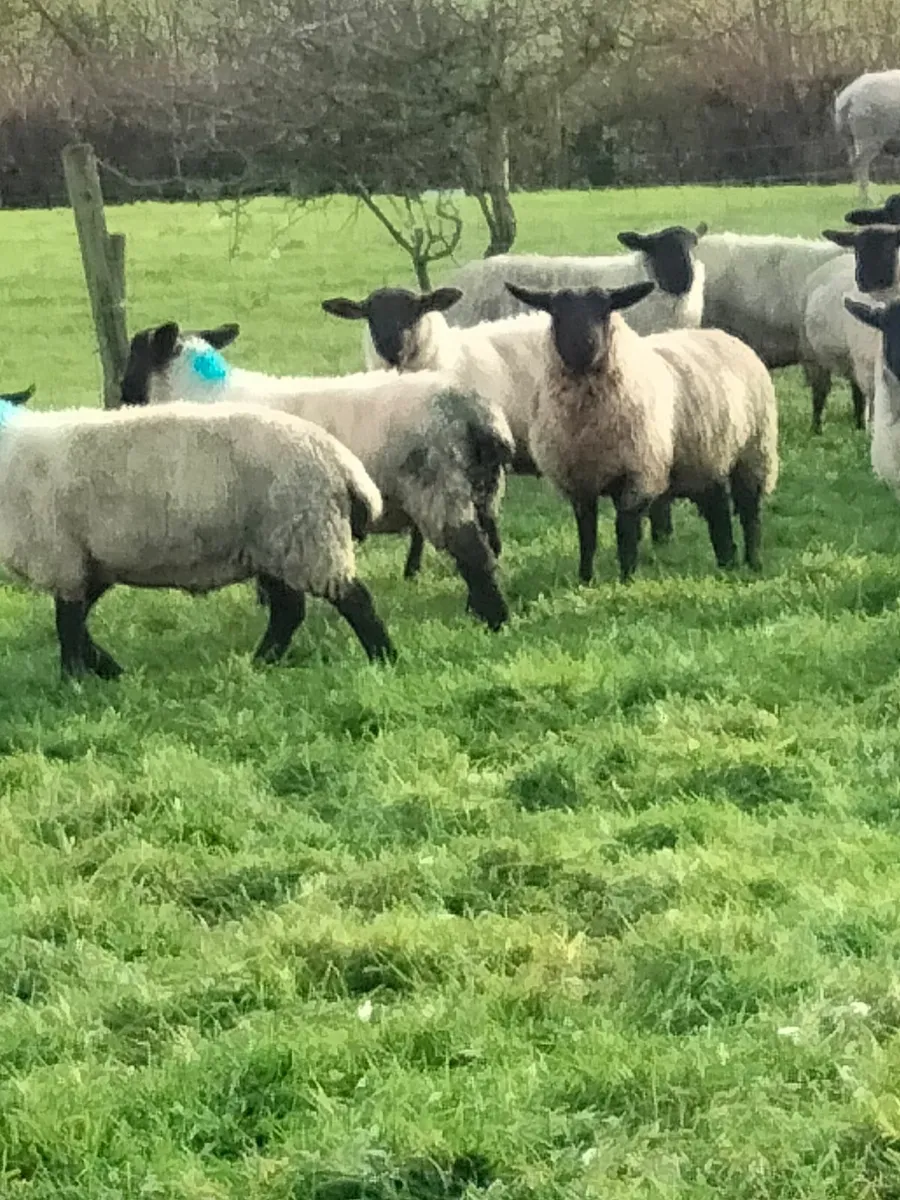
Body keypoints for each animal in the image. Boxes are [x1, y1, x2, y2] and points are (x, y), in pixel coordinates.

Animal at [0, 399, 395, 680]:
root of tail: (342, 461)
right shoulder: (89, 563)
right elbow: (77, 622)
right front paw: (109, 670)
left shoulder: (62, 557)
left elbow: (67, 625)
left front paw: (75, 679)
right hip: (276, 544)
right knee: (289, 610)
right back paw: (262, 662)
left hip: (307, 535)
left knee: (354, 600)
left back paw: (384, 658)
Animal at [119, 322, 515, 631]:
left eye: (133, 355)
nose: (117, 400)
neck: (202, 391)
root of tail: (476, 412)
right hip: (481, 491)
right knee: (488, 553)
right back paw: (479, 611)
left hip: (439, 491)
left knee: (474, 555)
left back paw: (495, 620)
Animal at [503, 281, 778, 584]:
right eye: (557, 313)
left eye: (605, 311)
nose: (584, 346)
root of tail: (720, 334)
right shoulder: (579, 481)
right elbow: (587, 535)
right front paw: (585, 579)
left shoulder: (637, 473)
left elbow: (626, 531)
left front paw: (626, 579)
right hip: (706, 458)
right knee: (718, 509)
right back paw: (726, 562)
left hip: (754, 451)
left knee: (750, 512)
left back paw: (753, 563)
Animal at [801, 224, 900, 431]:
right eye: (857, 247)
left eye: (889, 246)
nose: (862, 280)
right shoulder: (866, 366)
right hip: (813, 352)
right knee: (820, 392)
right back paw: (816, 428)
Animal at [834, 71, 900, 201]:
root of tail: (849, 96)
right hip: (868, 134)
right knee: (861, 162)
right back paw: (866, 198)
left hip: (848, 136)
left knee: (853, 162)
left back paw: (860, 196)